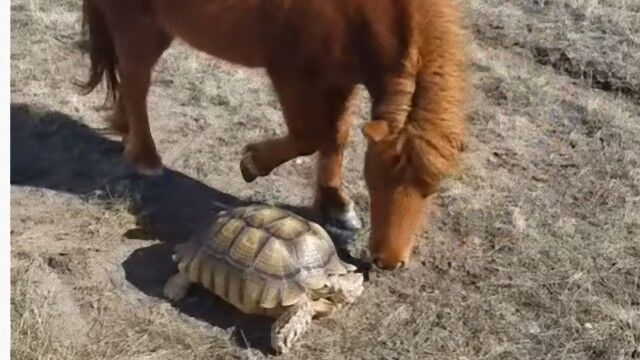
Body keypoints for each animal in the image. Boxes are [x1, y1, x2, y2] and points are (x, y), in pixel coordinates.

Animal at [80, 0, 464, 268]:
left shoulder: (341, 79)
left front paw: (335, 206)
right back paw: (145, 157)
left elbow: (336, 137)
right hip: (137, 23)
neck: (365, 11)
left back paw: (126, 133)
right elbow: (312, 136)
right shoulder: (292, 76)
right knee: (136, 81)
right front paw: (252, 163)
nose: (388, 261)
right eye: (376, 181)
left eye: (432, 189)